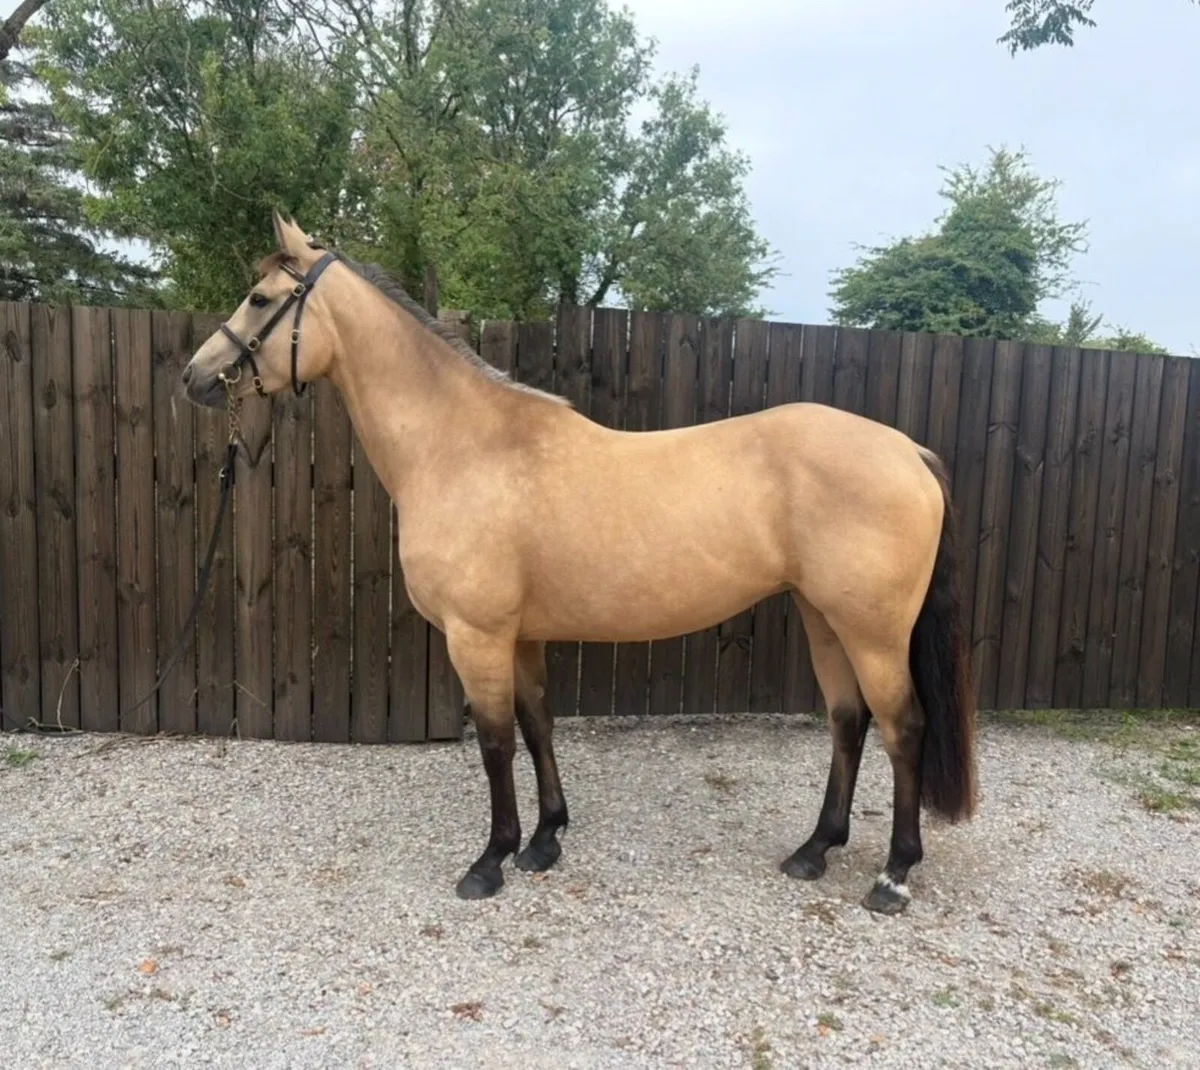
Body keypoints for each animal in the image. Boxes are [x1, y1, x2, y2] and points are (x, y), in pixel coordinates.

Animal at [181, 212, 978, 915]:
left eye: (260, 299)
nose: (195, 377)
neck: (464, 448)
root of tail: (908, 450)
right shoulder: (521, 636)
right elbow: (538, 724)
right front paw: (543, 842)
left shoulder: (476, 636)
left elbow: (496, 742)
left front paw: (491, 861)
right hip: (824, 618)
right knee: (848, 721)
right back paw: (814, 851)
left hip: (873, 631)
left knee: (904, 727)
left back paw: (893, 877)